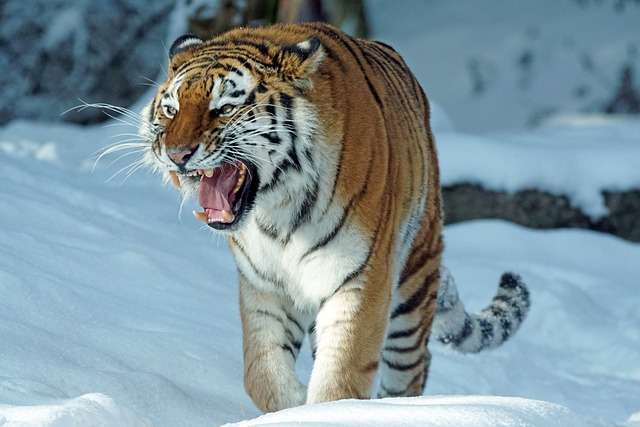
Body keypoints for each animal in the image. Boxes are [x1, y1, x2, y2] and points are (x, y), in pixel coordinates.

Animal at [139, 21, 528, 412]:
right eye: (171, 110)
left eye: (225, 108)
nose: (176, 154)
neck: (276, 210)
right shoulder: (264, 285)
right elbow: (261, 373)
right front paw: (294, 405)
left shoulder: (360, 279)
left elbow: (341, 376)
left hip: (414, 283)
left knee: (412, 367)